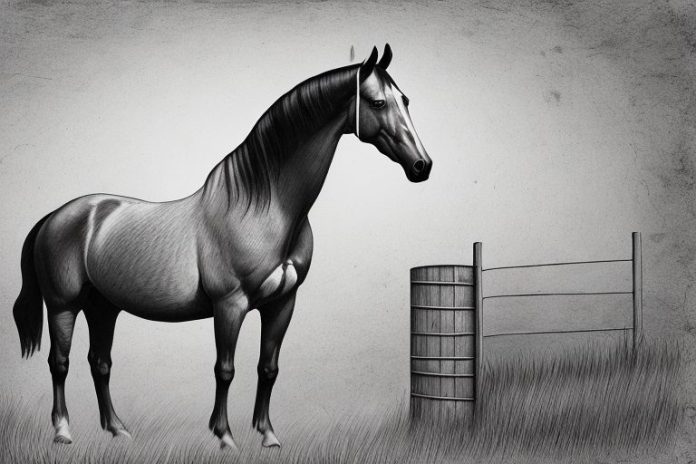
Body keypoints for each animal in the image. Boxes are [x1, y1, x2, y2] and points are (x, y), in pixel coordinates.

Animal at [12, 44, 431, 450]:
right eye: (377, 102)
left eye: (406, 100)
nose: (422, 166)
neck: (265, 208)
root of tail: (56, 216)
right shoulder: (230, 305)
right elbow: (225, 369)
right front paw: (224, 435)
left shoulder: (282, 303)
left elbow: (268, 368)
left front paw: (267, 434)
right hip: (63, 306)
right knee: (60, 363)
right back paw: (63, 431)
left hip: (103, 307)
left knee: (99, 363)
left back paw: (117, 430)